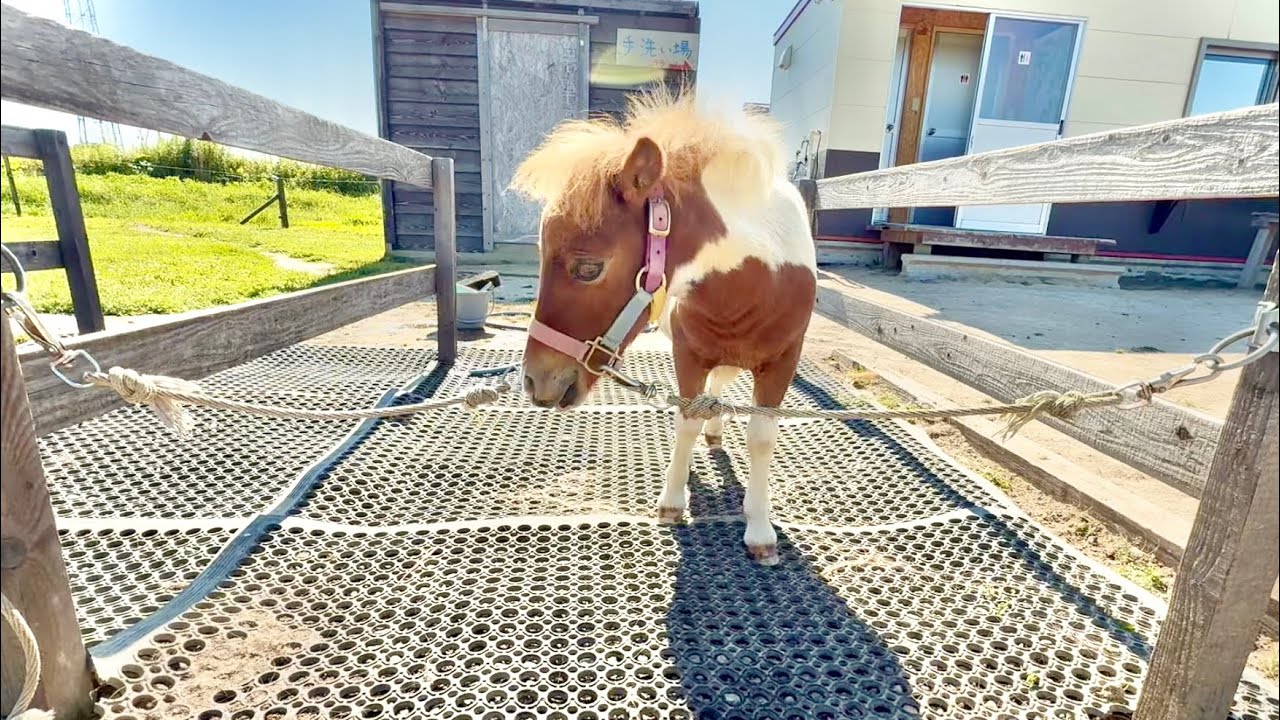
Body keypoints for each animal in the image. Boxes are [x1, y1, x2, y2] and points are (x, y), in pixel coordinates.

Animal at [512, 90, 817, 566]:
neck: (752, 282)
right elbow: (687, 420)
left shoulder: (783, 361)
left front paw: (760, 530)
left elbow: (761, 438)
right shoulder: (688, 353)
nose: (535, 382)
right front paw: (673, 500)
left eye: (588, 267)